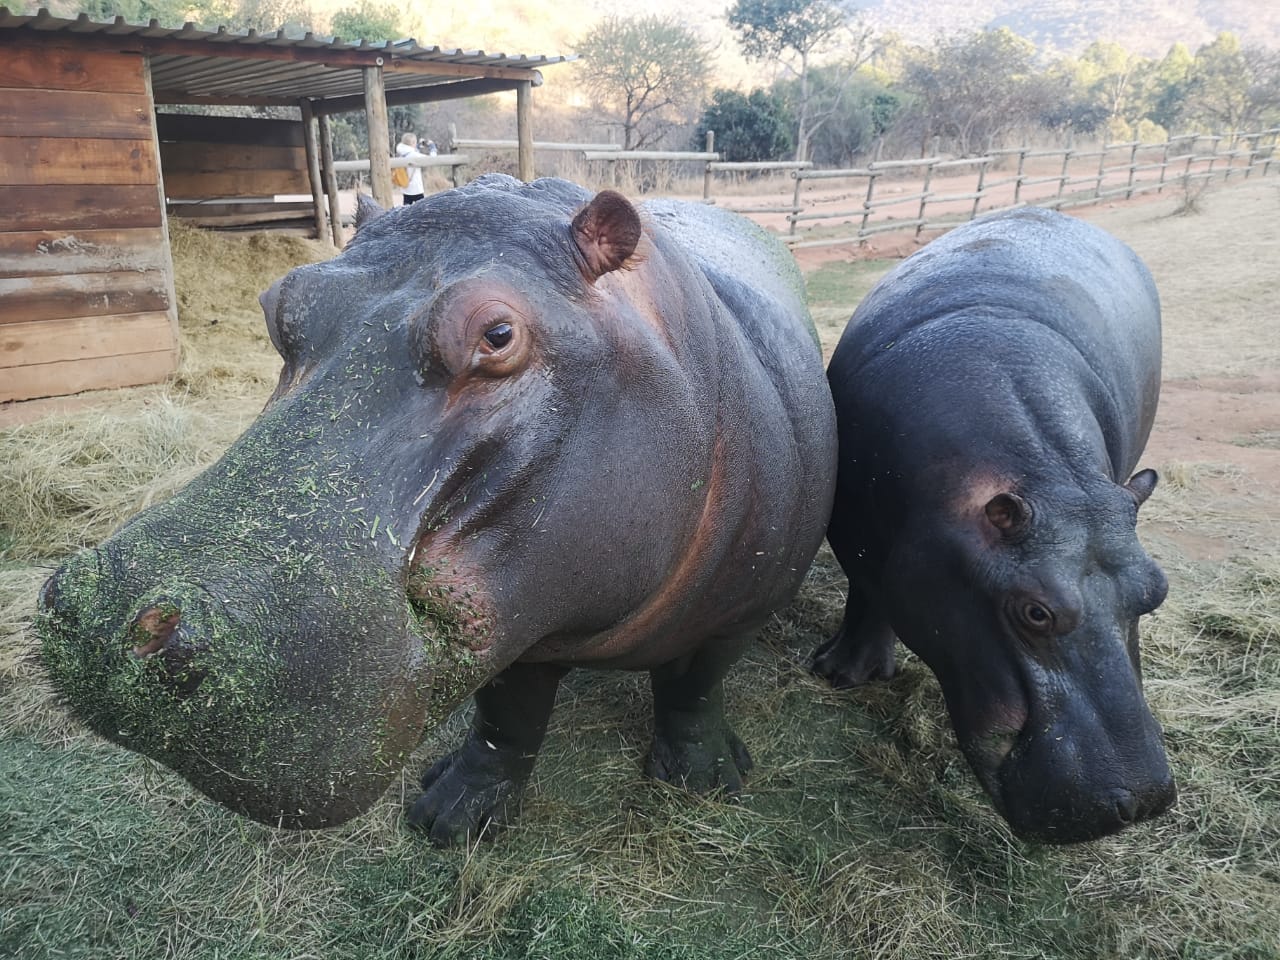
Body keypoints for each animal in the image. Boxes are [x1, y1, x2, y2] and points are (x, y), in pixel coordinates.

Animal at [36, 176, 836, 845]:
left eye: (497, 334)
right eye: (279, 305)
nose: (109, 618)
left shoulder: (743, 607)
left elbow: (694, 687)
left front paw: (706, 782)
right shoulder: (524, 619)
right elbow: (508, 716)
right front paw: (451, 816)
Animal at [812, 207, 1175, 842]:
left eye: (1156, 591)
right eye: (1034, 611)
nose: (1141, 799)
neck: (1049, 476)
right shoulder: (859, 536)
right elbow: (868, 593)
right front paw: (840, 674)